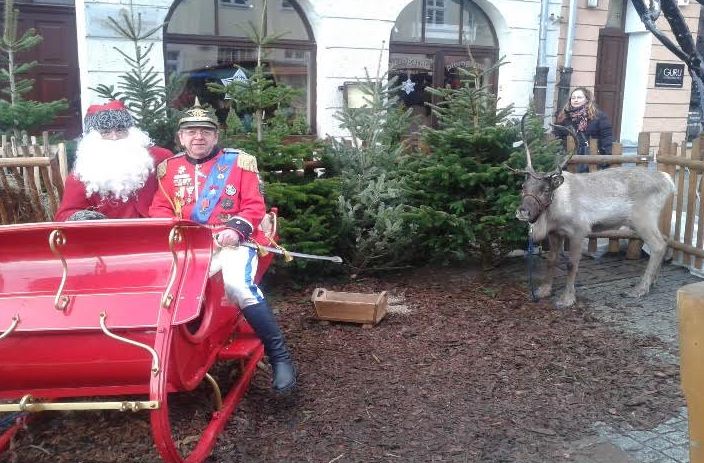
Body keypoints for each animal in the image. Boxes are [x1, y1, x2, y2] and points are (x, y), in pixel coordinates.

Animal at [512, 117, 675, 308]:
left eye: (545, 189)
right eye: (523, 187)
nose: (523, 212)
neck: (556, 207)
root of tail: (667, 180)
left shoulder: (579, 231)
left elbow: (571, 264)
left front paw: (567, 298)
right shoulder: (555, 233)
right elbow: (551, 260)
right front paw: (544, 290)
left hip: (643, 220)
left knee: (658, 245)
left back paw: (640, 289)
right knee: (664, 240)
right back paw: (653, 282)